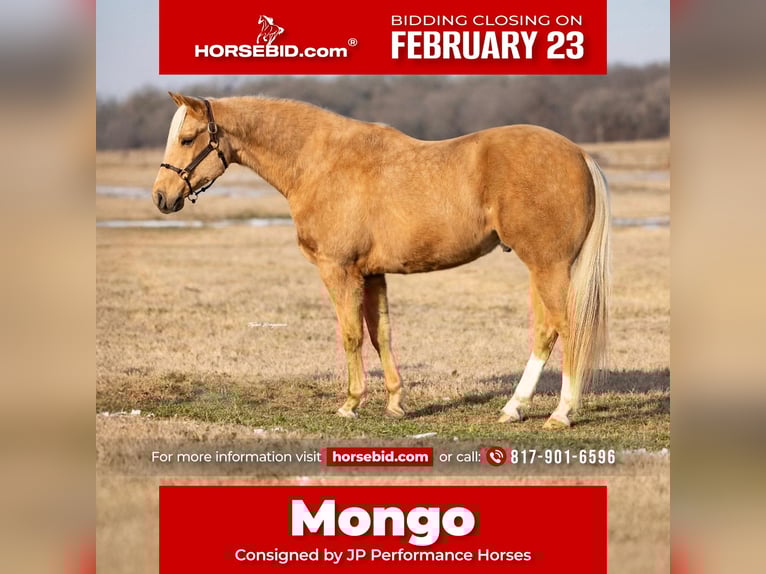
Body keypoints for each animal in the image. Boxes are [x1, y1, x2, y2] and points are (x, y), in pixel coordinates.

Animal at [153, 93, 610, 429]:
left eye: (189, 137)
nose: (161, 196)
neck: (321, 163)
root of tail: (579, 154)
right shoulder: (372, 274)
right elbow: (381, 335)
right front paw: (394, 403)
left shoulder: (338, 270)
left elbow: (351, 335)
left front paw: (351, 403)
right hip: (541, 269)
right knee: (546, 331)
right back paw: (514, 407)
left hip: (548, 266)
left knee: (568, 328)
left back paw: (561, 413)